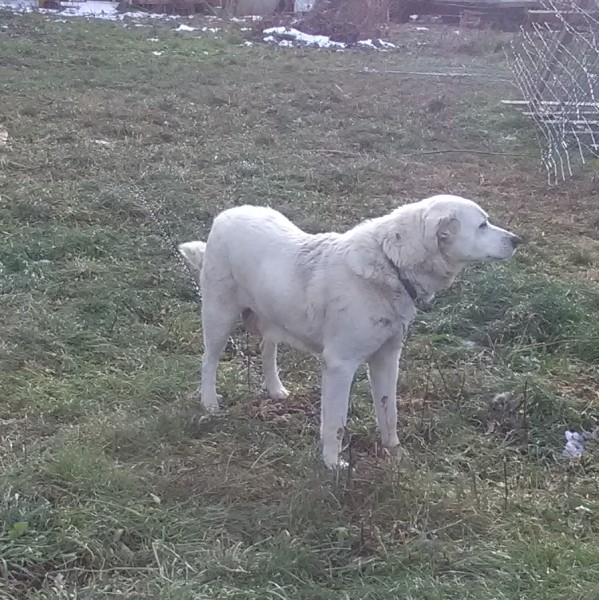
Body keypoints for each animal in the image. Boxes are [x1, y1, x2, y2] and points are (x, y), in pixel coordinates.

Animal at [179, 197, 520, 468]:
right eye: (482, 225)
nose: (517, 239)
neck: (391, 265)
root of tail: (226, 214)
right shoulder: (340, 366)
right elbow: (336, 423)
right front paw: (332, 465)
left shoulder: (387, 359)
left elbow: (389, 413)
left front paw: (395, 454)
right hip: (219, 317)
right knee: (208, 362)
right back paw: (209, 404)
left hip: (273, 315)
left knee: (267, 348)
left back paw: (275, 389)